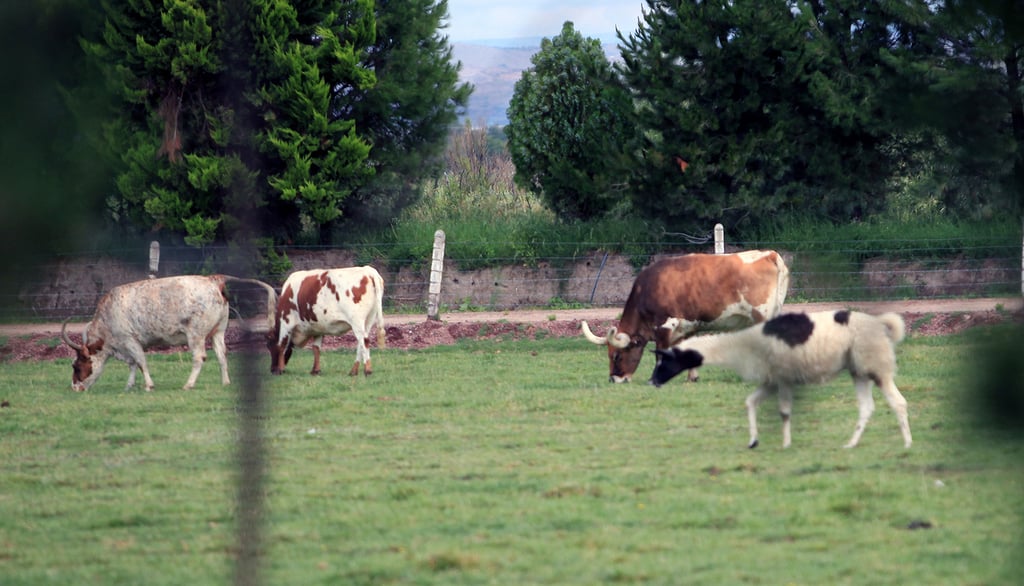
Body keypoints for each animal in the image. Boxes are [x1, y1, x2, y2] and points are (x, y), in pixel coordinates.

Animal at [61, 276, 278, 393]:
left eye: (76, 366)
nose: (75, 388)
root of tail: (212, 279)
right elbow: (132, 364)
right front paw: (129, 385)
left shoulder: (130, 340)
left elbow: (140, 362)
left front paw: (148, 385)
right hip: (219, 331)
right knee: (221, 355)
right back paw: (225, 382)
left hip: (196, 335)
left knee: (200, 357)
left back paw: (188, 384)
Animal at [581, 250, 786, 385]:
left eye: (616, 356)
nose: (613, 379)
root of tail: (769, 254)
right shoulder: (686, 327)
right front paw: (692, 377)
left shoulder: (664, 325)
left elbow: (660, 354)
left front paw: (654, 379)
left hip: (761, 315)